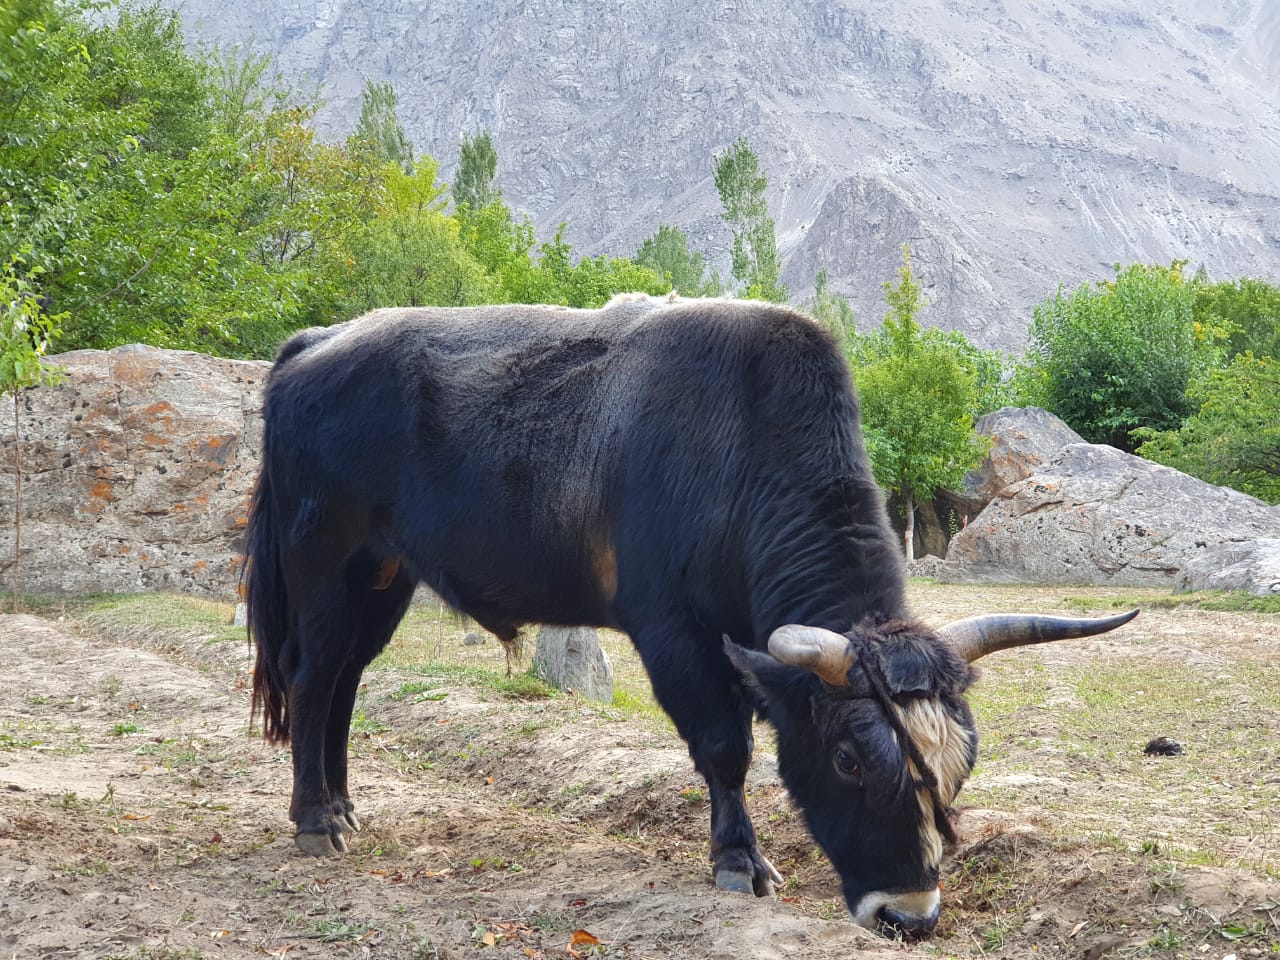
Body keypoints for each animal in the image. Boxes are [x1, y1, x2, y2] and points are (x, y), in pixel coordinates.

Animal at [244, 295, 1136, 937]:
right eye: (850, 759)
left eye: (961, 764)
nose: (908, 916)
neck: (743, 446)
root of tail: (316, 344)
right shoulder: (674, 637)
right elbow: (725, 750)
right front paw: (741, 863)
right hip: (325, 566)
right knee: (313, 678)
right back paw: (316, 821)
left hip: (384, 578)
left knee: (347, 681)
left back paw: (345, 806)